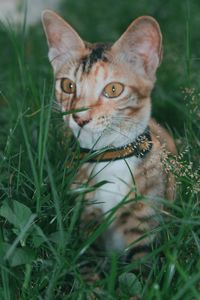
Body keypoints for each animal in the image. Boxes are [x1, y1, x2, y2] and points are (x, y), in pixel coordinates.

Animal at [41, 9, 176, 262]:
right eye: (68, 86)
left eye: (113, 89)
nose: (79, 118)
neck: (110, 158)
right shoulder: (84, 216)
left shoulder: (146, 221)